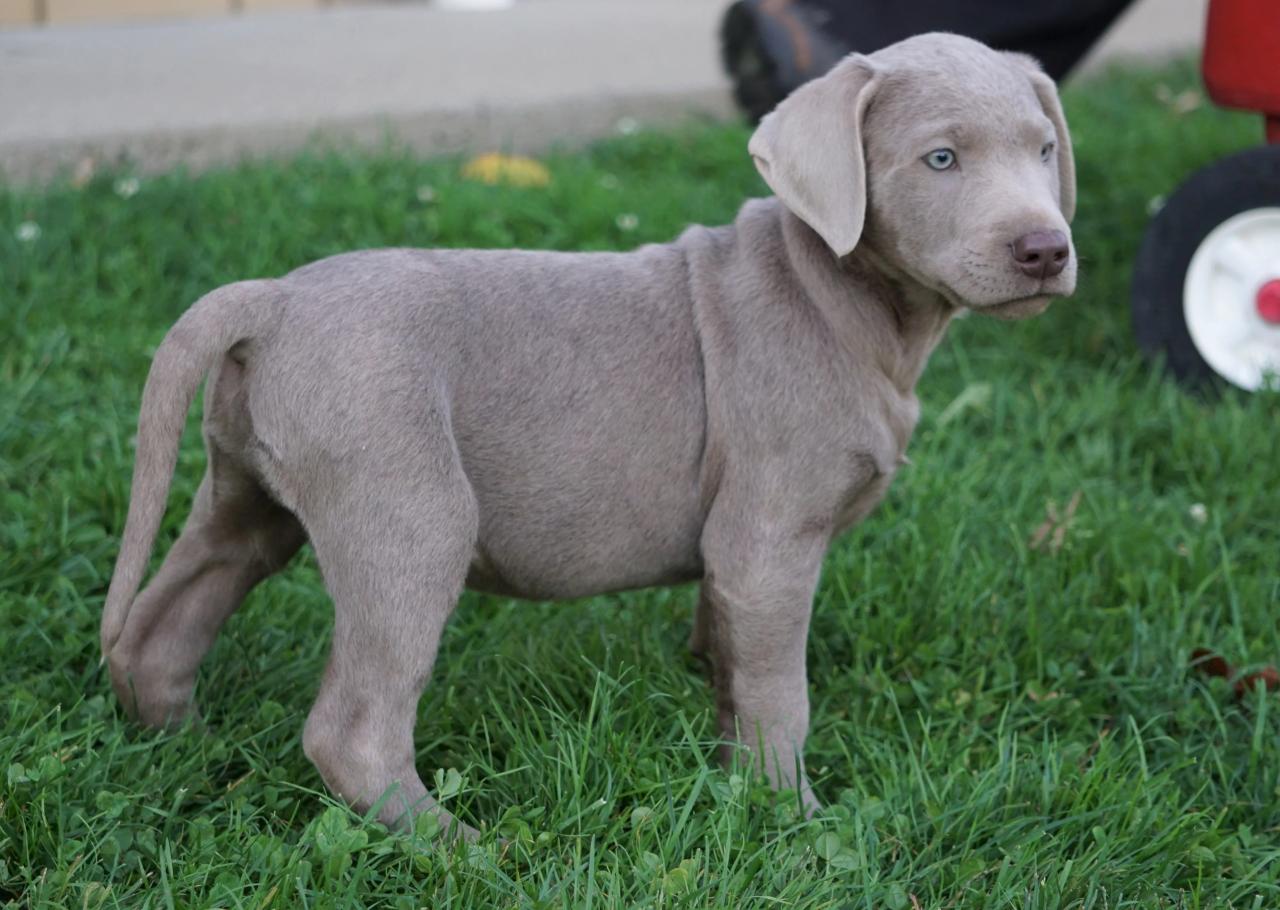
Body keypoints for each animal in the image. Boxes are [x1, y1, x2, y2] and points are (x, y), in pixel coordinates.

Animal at [104, 35, 1075, 839]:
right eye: (940, 158)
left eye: (1044, 150)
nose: (1047, 249)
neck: (841, 298)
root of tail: (270, 299)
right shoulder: (770, 536)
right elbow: (778, 692)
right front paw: (792, 817)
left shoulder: (734, 556)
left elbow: (728, 657)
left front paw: (726, 755)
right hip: (407, 512)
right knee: (353, 725)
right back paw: (461, 848)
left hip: (248, 491)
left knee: (163, 621)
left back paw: (188, 754)